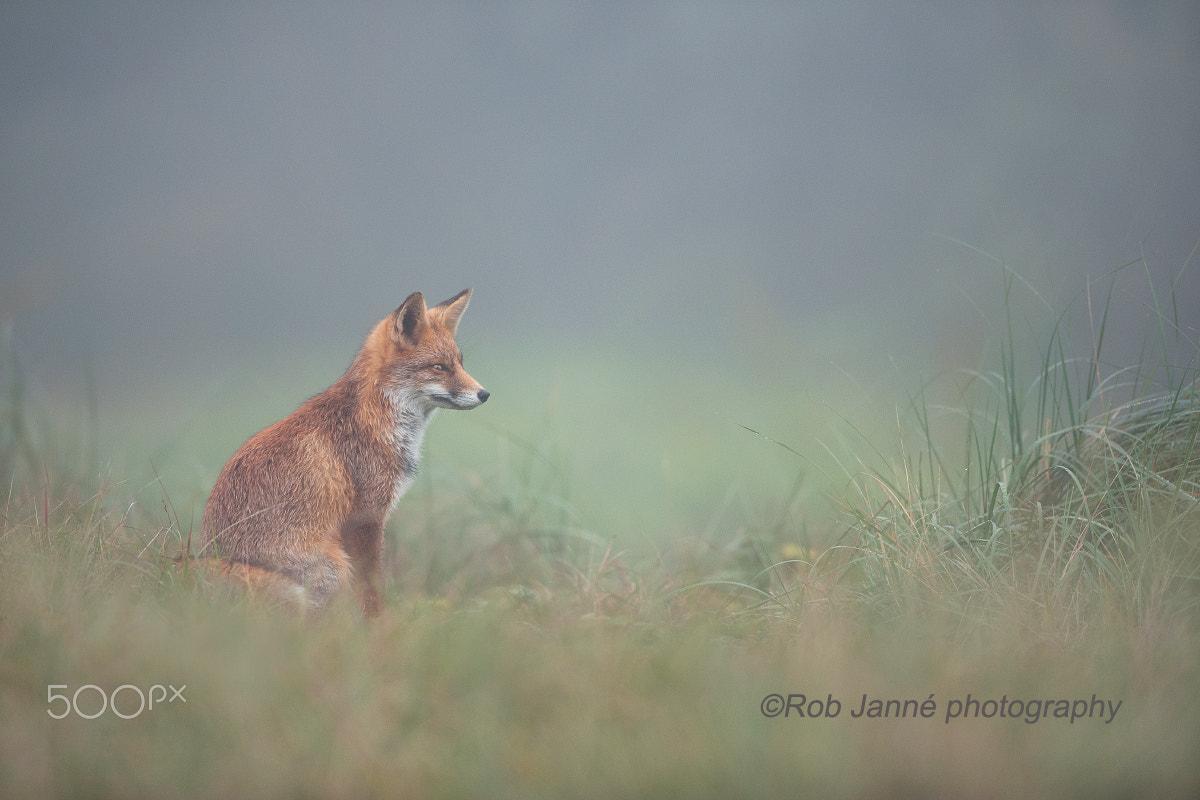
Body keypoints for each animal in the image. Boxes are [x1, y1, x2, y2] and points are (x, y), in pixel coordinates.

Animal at [196, 291, 487, 618]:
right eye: (439, 367)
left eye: (459, 364)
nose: (484, 393)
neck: (376, 418)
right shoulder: (365, 519)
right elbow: (371, 590)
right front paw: (379, 626)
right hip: (332, 566)